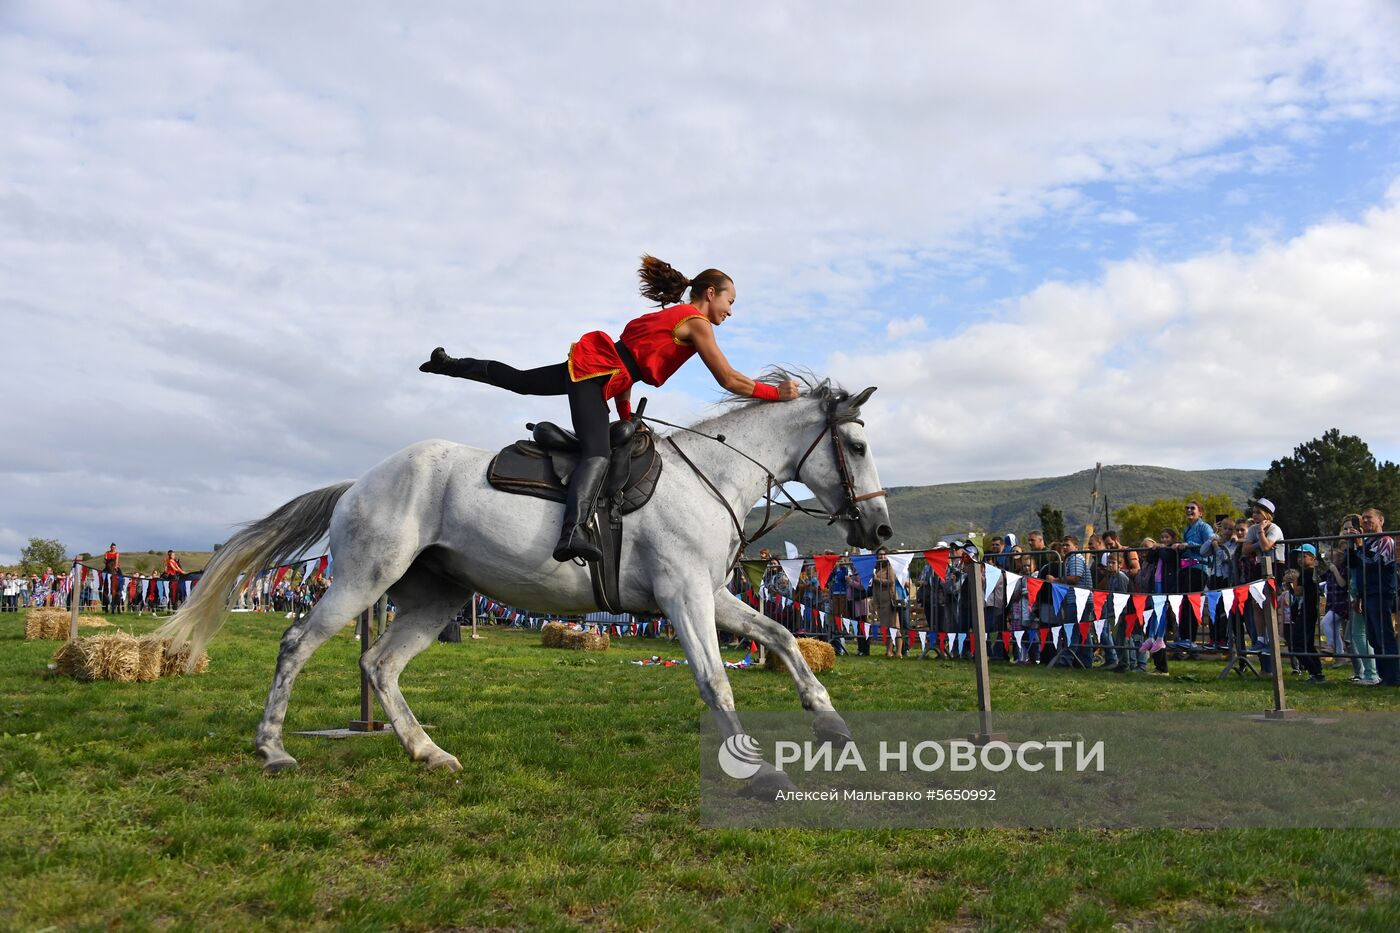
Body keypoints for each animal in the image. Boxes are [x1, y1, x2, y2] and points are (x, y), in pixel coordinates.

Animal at [158, 375, 890, 778]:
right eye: (856, 445)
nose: (881, 532)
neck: (710, 477)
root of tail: (358, 483)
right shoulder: (684, 596)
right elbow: (716, 680)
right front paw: (757, 771)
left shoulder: (709, 593)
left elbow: (783, 637)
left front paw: (829, 722)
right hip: (362, 580)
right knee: (297, 644)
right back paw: (272, 749)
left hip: (438, 595)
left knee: (380, 665)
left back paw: (428, 751)